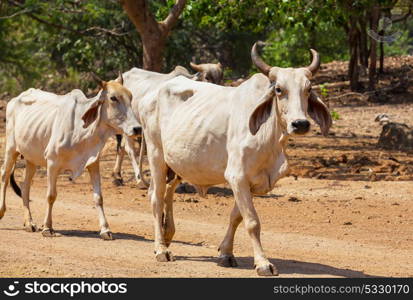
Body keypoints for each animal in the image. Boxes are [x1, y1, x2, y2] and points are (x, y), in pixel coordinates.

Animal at [0, 75, 140, 239]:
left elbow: (98, 198)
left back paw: (29, 223)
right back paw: (3, 211)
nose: (137, 128)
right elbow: (51, 195)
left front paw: (105, 229)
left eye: (130, 96)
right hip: (11, 149)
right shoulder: (52, 162)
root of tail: (15, 99)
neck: (82, 131)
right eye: (113, 98)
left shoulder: (93, 162)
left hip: (31, 158)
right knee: (4, 177)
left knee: (25, 185)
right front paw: (47, 228)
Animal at [138, 42, 332, 276]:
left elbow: (236, 217)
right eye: (278, 89)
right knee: (156, 197)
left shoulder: (253, 183)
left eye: (308, 89)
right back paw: (161, 249)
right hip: (156, 154)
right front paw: (263, 263)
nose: (300, 124)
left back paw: (167, 235)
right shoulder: (237, 176)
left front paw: (226, 254)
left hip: (178, 164)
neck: (270, 138)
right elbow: (252, 222)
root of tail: (151, 94)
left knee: (167, 193)